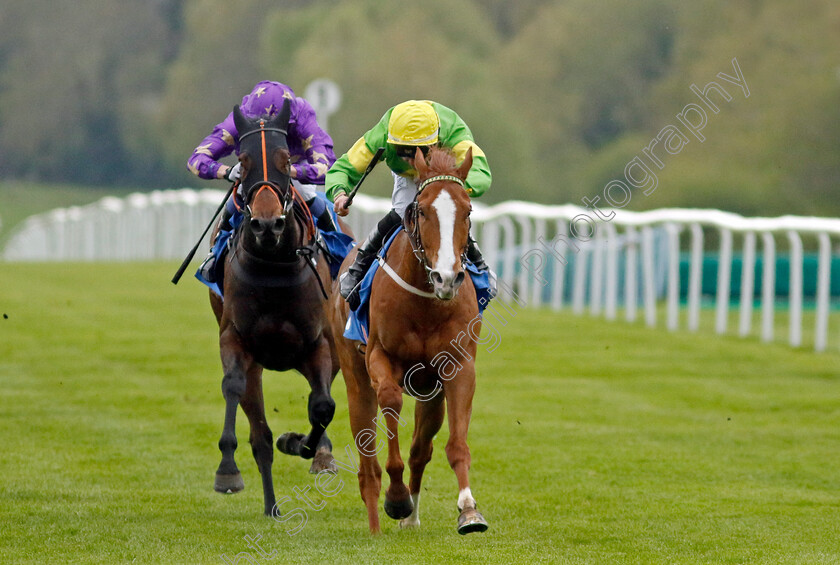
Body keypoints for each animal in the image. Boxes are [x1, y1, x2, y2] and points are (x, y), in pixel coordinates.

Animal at [210, 100, 342, 516]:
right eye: (243, 160)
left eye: (285, 159)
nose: (267, 225)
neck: (273, 264)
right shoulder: (236, 340)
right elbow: (232, 387)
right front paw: (227, 471)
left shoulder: (318, 344)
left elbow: (322, 406)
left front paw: (302, 445)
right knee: (260, 435)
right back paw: (270, 506)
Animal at [326, 145, 486, 532]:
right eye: (422, 210)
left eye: (467, 210)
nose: (447, 277)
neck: (426, 300)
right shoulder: (380, 358)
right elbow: (390, 401)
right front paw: (396, 498)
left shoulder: (459, 366)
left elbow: (454, 444)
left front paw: (469, 510)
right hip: (355, 378)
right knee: (367, 458)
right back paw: (377, 519)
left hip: (430, 392)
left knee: (420, 449)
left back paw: (411, 518)